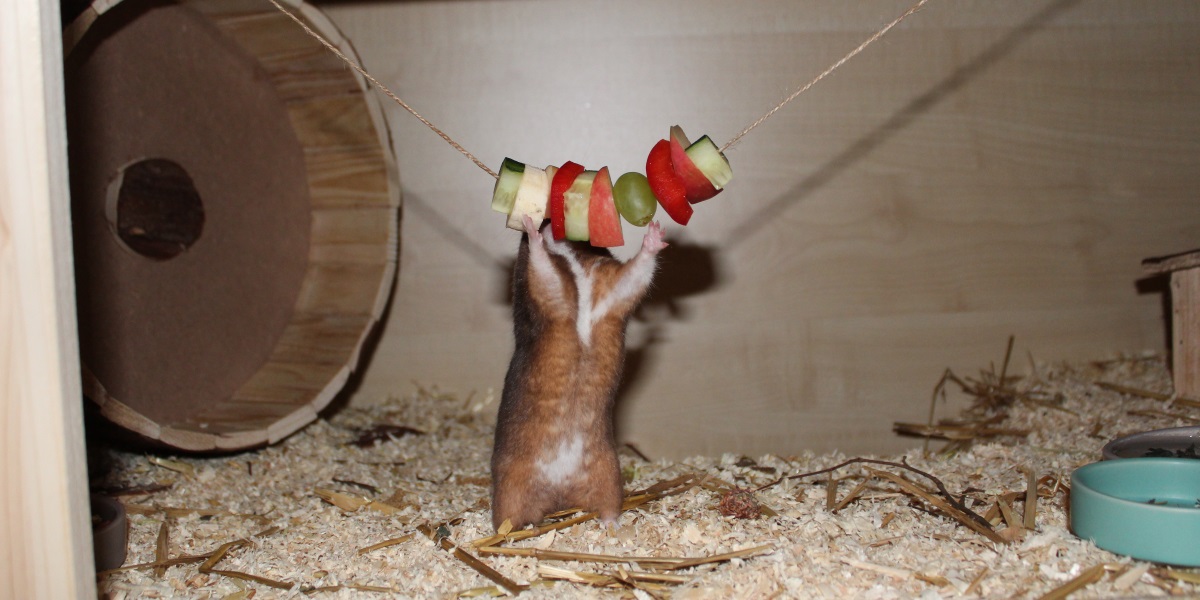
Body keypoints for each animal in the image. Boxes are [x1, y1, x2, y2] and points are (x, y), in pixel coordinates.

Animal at [490, 215, 667, 531]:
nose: (547, 218)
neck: (573, 258)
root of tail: (559, 495)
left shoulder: (610, 291)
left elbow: (636, 272)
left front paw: (656, 231)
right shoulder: (552, 297)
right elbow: (542, 266)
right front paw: (531, 227)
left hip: (609, 476)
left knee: (607, 507)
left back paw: (613, 527)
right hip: (510, 489)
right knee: (508, 521)